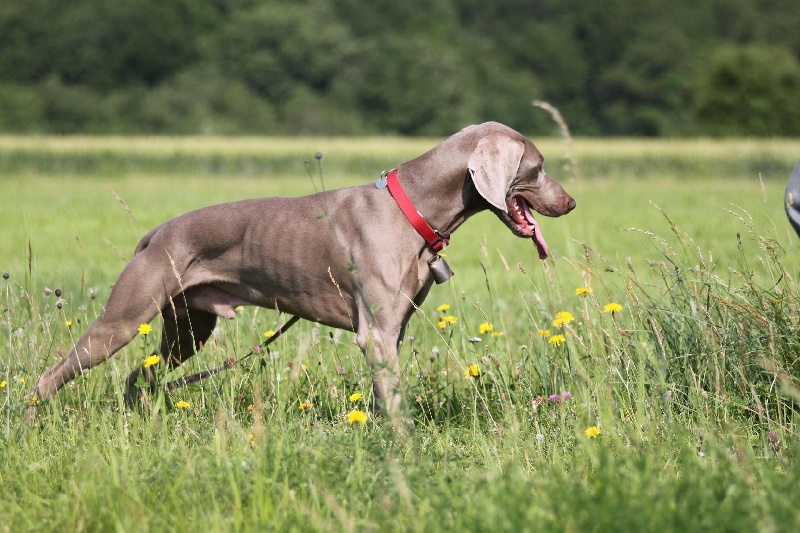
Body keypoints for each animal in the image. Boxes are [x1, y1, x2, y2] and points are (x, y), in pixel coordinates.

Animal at [32, 121, 576, 428]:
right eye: (538, 166)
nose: (571, 203)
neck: (413, 210)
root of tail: (154, 233)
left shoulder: (391, 332)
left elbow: (384, 393)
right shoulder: (376, 332)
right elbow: (394, 402)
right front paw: (405, 448)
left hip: (187, 329)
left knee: (138, 375)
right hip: (123, 319)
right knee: (55, 374)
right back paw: (35, 416)